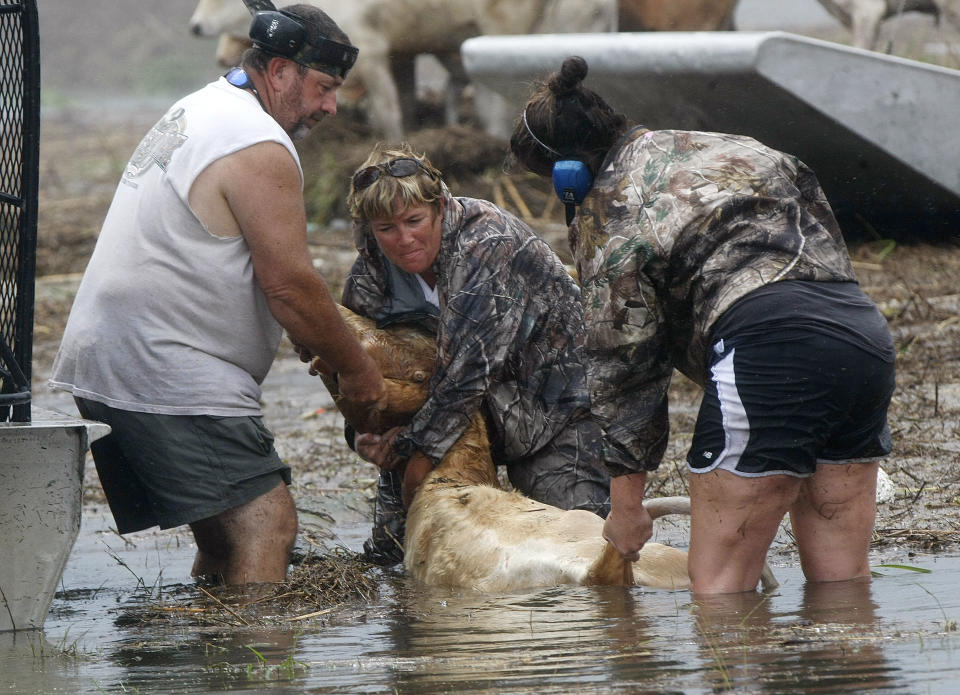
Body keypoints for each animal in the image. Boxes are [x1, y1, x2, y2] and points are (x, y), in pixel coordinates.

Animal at [189, 0, 616, 140]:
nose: (193, 26)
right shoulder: (399, 53)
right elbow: (404, 101)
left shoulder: (373, 49)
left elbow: (390, 108)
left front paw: (393, 141)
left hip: (507, 29)